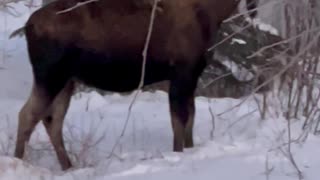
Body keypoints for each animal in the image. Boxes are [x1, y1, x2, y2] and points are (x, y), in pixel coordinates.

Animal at [14, 0, 258, 170]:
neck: (213, 13)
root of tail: (28, 25)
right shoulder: (181, 73)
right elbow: (179, 121)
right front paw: (178, 154)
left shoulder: (192, 75)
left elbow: (190, 119)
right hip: (50, 75)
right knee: (28, 115)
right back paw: (19, 161)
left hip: (67, 81)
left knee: (52, 120)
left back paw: (68, 167)